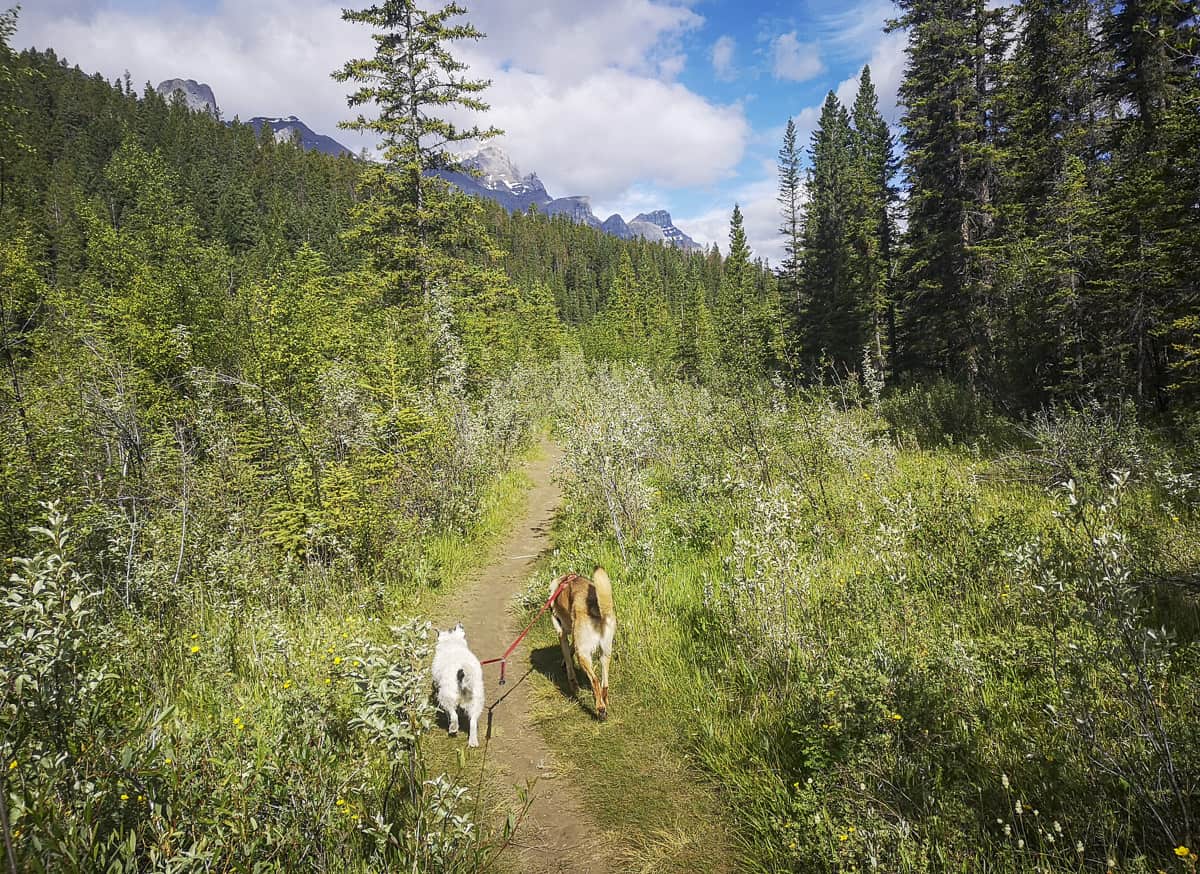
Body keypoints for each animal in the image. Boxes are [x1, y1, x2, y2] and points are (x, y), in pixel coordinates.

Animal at [549, 566, 614, 715]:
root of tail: (596, 607)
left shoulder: (561, 634)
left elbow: (569, 662)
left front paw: (574, 686)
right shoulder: (574, 636)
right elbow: (571, 649)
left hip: (583, 654)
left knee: (595, 680)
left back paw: (600, 708)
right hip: (605, 652)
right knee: (604, 684)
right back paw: (604, 701)